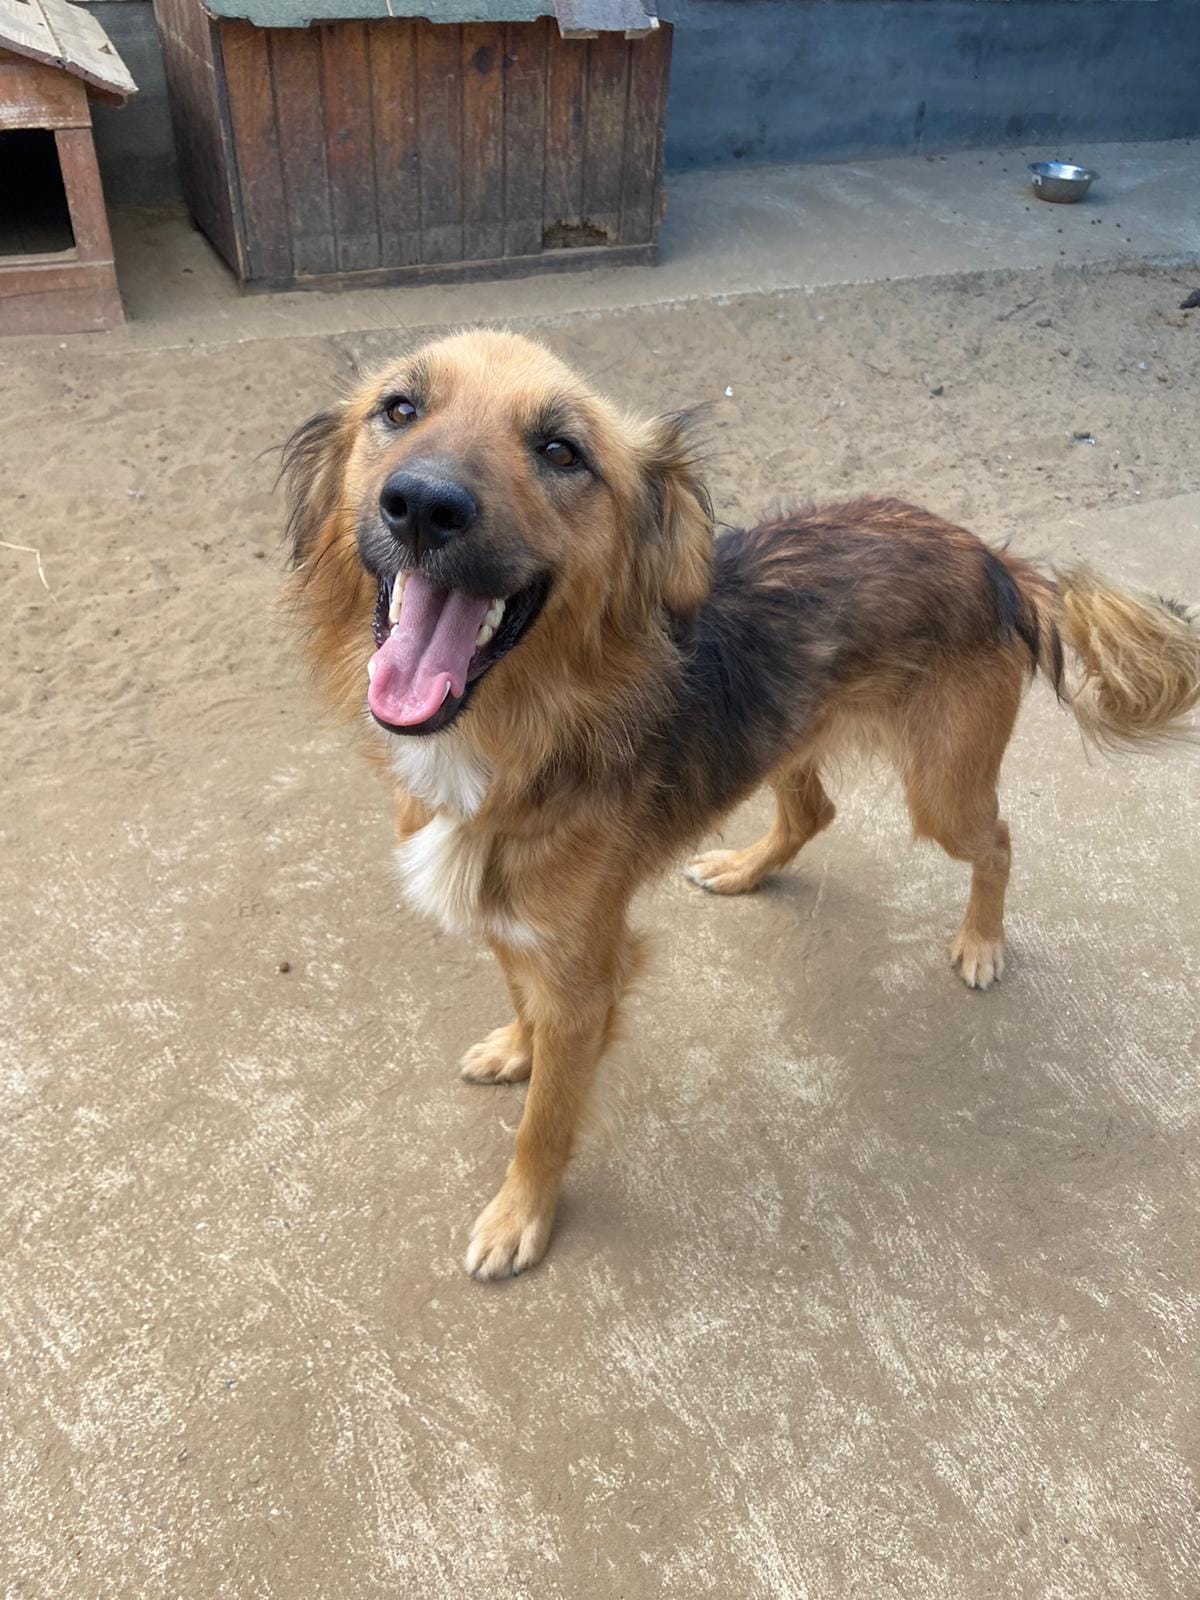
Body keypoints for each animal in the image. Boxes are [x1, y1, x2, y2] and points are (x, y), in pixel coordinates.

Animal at [283, 328, 1200, 1280]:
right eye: (399, 408)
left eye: (562, 452)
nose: (422, 506)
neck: (520, 735)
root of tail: (992, 558)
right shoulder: (515, 919)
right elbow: (519, 997)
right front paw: (516, 1049)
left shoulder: (586, 974)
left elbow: (545, 1123)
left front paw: (519, 1215)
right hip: (789, 736)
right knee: (812, 815)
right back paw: (744, 870)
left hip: (942, 788)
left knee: (999, 841)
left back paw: (982, 943)